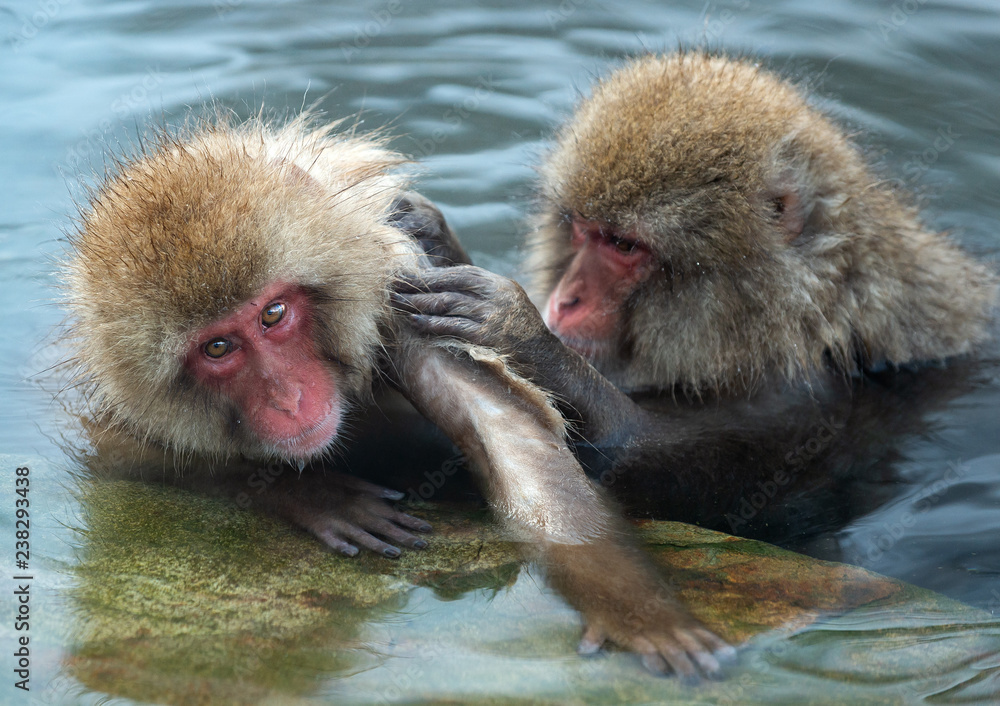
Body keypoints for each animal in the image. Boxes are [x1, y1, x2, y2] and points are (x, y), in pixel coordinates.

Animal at [59, 112, 732, 680]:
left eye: (273, 314)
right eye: (218, 348)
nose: (287, 398)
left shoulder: (397, 302)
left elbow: (516, 450)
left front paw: (640, 615)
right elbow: (113, 449)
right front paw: (316, 494)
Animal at [394, 51, 998, 535]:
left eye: (623, 245)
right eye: (582, 230)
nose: (565, 301)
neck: (808, 313)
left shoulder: (812, 400)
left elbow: (632, 455)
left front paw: (522, 334)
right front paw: (433, 237)